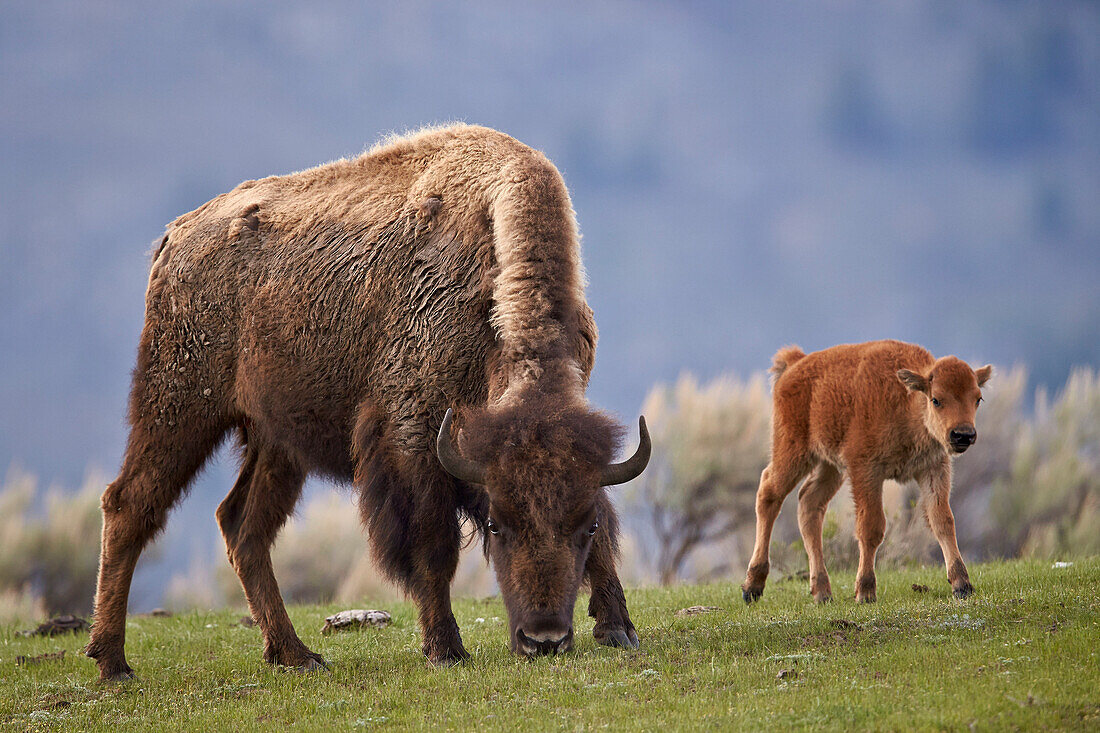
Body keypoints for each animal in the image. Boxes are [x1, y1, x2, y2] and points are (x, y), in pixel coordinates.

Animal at [90, 125, 651, 677]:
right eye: (497, 524)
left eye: (585, 524)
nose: (544, 640)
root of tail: (174, 237)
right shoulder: (413, 436)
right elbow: (433, 545)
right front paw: (445, 650)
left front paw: (618, 630)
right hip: (178, 407)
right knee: (129, 504)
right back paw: (113, 661)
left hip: (276, 443)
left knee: (243, 527)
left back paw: (296, 656)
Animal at [743, 338, 994, 603]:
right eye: (936, 399)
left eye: (978, 399)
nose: (963, 435)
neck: (907, 401)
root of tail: (794, 364)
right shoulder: (866, 470)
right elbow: (871, 527)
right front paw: (865, 591)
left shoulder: (933, 468)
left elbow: (943, 520)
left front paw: (962, 585)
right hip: (793, 452)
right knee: (769, 493)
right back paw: (752, 587)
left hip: (830, 466)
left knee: (809, 503)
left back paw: (822, 592)